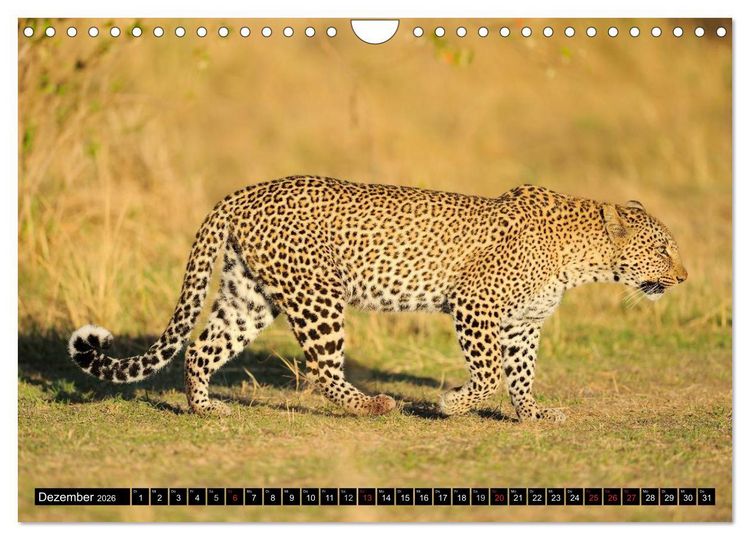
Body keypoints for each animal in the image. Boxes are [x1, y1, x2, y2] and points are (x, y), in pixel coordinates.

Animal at [68, 176, 687, 422]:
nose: (683, 278)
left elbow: (520, 374)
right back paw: (373, 405)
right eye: (664, 248)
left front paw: (534, 414)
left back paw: (204, 408)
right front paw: (450, 405)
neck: (584, 260)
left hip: (251, 294)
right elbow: (489, 374)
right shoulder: (475, 305)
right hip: (317, 295)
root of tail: (242, 193)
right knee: (323, 370)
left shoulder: (523, 324)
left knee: (201, 348)